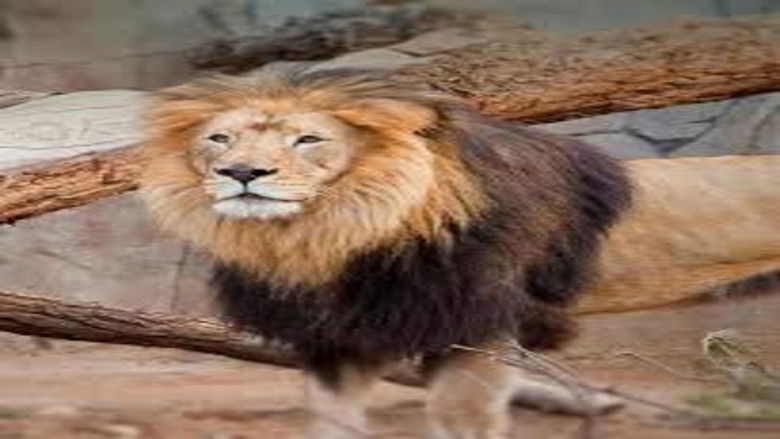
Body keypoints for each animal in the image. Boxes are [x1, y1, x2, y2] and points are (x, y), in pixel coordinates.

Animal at [139, 66, 632, 438]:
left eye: (308, 140)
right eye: (220, 139)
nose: (242, 172)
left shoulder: (481, 323)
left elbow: (463, 418)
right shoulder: (341, 333)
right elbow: (331, 417)